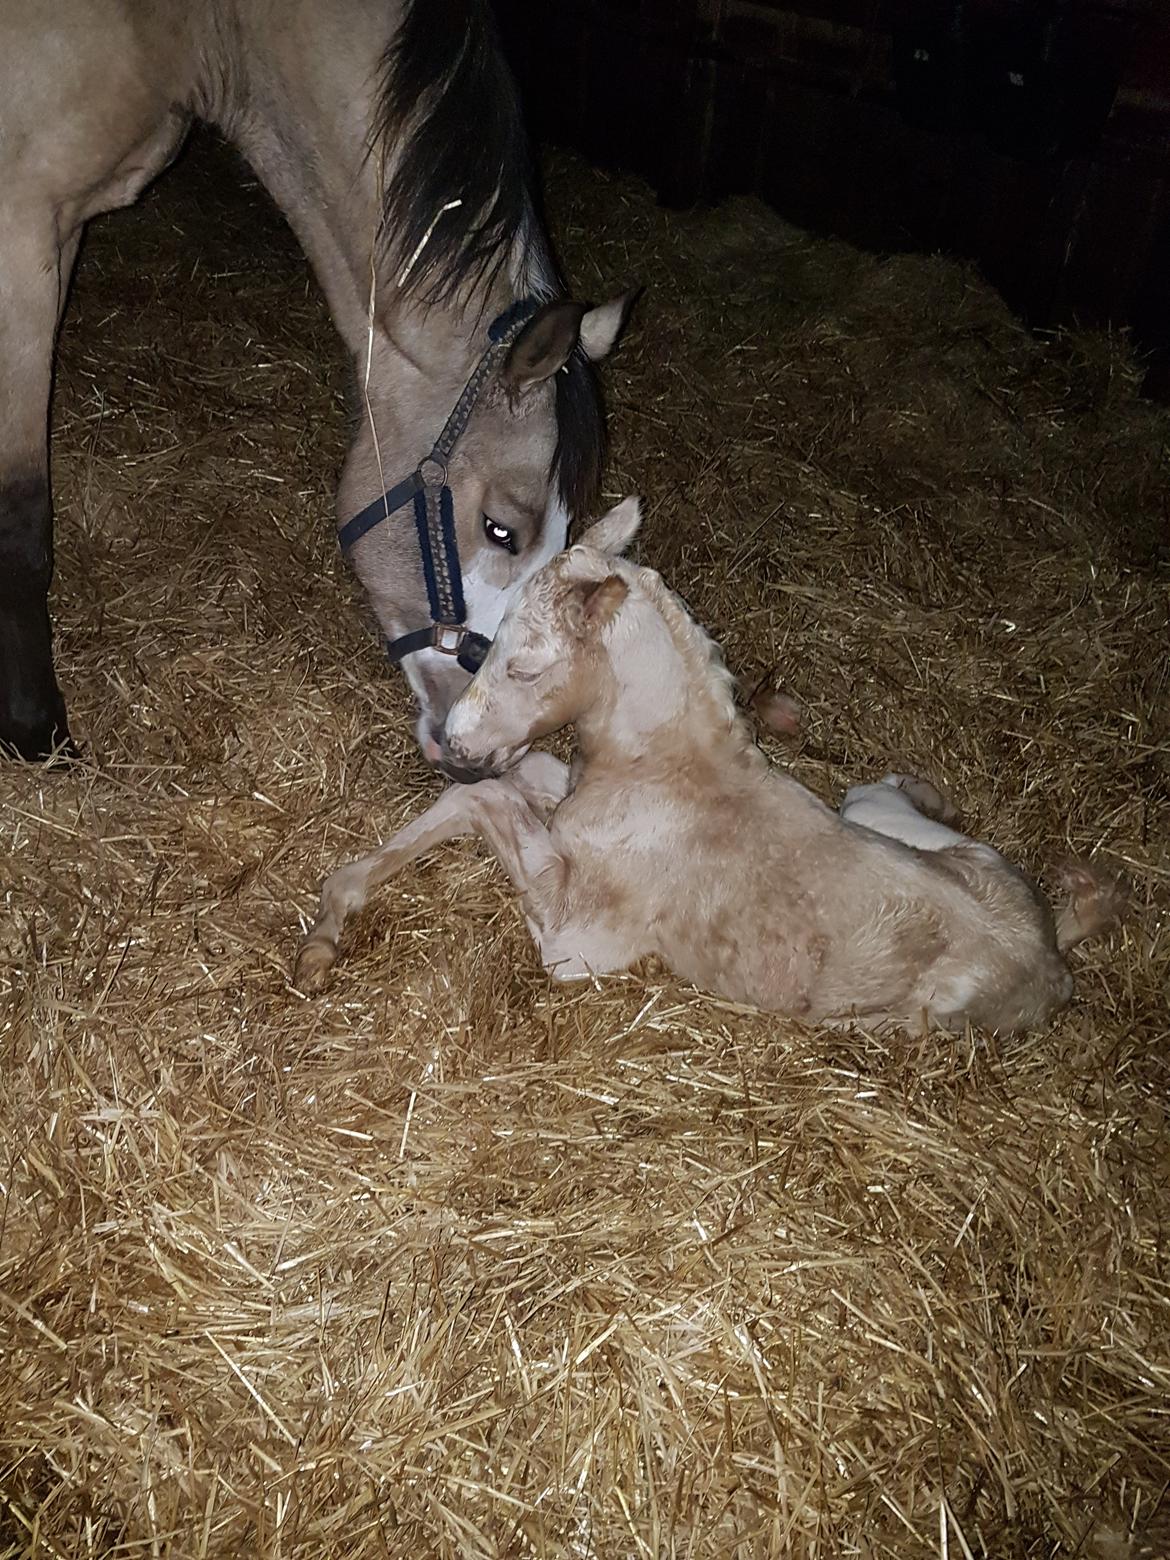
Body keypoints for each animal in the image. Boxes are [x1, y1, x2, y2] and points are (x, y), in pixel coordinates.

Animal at [0, 0, 633, 767]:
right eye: (500, 529)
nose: (492, 755)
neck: (186, 30)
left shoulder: (63, 234)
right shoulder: (21, 234)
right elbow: (22, 514)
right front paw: (34, 729)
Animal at [294, 502, 1129, 1035]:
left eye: (526, 666)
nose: (455, 741)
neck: (661, 773)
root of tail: (1053, 960)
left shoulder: (576, 944)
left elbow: (485, 800)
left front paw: (327, 930)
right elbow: (508, 786)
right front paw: (327, 929)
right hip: (875, 814)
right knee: (889, 789)